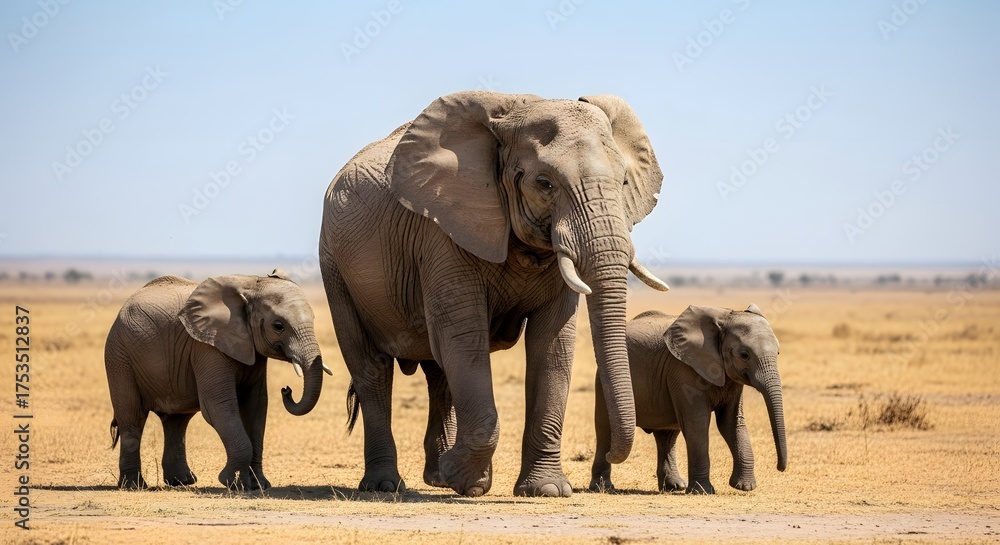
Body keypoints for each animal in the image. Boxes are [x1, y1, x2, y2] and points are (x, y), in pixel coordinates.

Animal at [104, 269, 331, 490]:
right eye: (278, 326)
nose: (286, 390)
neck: (251, 284)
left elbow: (256, 407)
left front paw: (260, 486)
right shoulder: (207, 346)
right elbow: (218, 406)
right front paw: (233, 483)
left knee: (177, 421)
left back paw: (182, 482)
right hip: (119, 355)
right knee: (132, 417)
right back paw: (133, 485)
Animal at [320, 90, 669, 497]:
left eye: (625, 181)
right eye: (545, 183)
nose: (612, 455)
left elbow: (552, 345)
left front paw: (544, 490)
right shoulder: (443, 232)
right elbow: (463, 337)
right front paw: (466, 480)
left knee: (438, 371)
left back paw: (438, 477)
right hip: (335, 266)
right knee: (372, 369)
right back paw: (386, 485)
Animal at [589, 305, 787, 494]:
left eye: (778, 353)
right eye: (744, 355)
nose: (780, 468)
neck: (724, 316)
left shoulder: (731, 379)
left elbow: (731, 422)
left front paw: (744, 487)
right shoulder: (683, 369)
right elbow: (697, 423)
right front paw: (702, 491)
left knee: (667, 436)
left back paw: (674, 486)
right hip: (602, 382)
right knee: (605, 429)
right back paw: (603, 487)